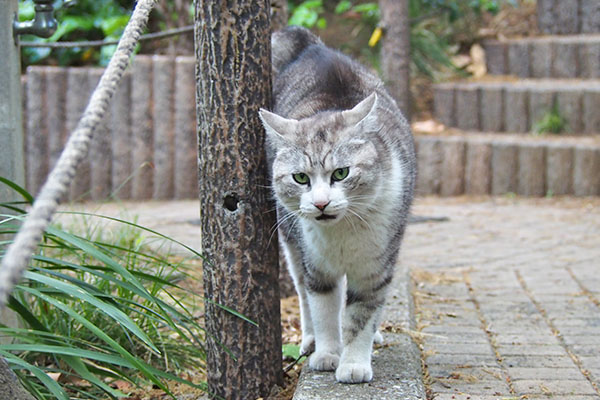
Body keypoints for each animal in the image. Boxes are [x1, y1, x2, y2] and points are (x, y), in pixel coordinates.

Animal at [258, 26, 418, 382]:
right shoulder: (317, 267)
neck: (342, 234)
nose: (320, 204)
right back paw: (309, 341)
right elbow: (324, 312)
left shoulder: (375, 269)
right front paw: (328, 354)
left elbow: (361, 316)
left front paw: (354, 363)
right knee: (302, 293)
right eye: (300, 178)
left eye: (341, 173)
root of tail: (311, 46)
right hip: (291, 244)